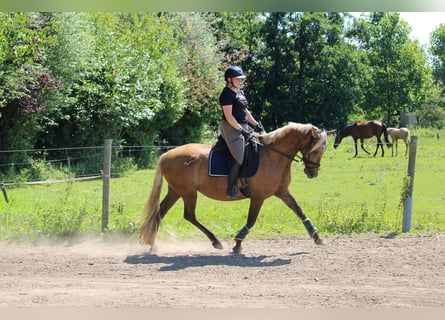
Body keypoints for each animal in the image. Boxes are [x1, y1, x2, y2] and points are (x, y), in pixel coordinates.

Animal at [140, 122, 328, 252]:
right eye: (315, 150)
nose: (313, 172)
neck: (273, 155)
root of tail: (166, 154)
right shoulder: (258, 196)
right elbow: (251, 220)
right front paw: (237, 243)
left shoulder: (282, 192)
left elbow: (299, 211)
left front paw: (317, 237)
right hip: (188, 192)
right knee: (189, 215)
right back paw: (215, 241)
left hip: (176, 191)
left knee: (160, 212)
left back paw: (152, 245)